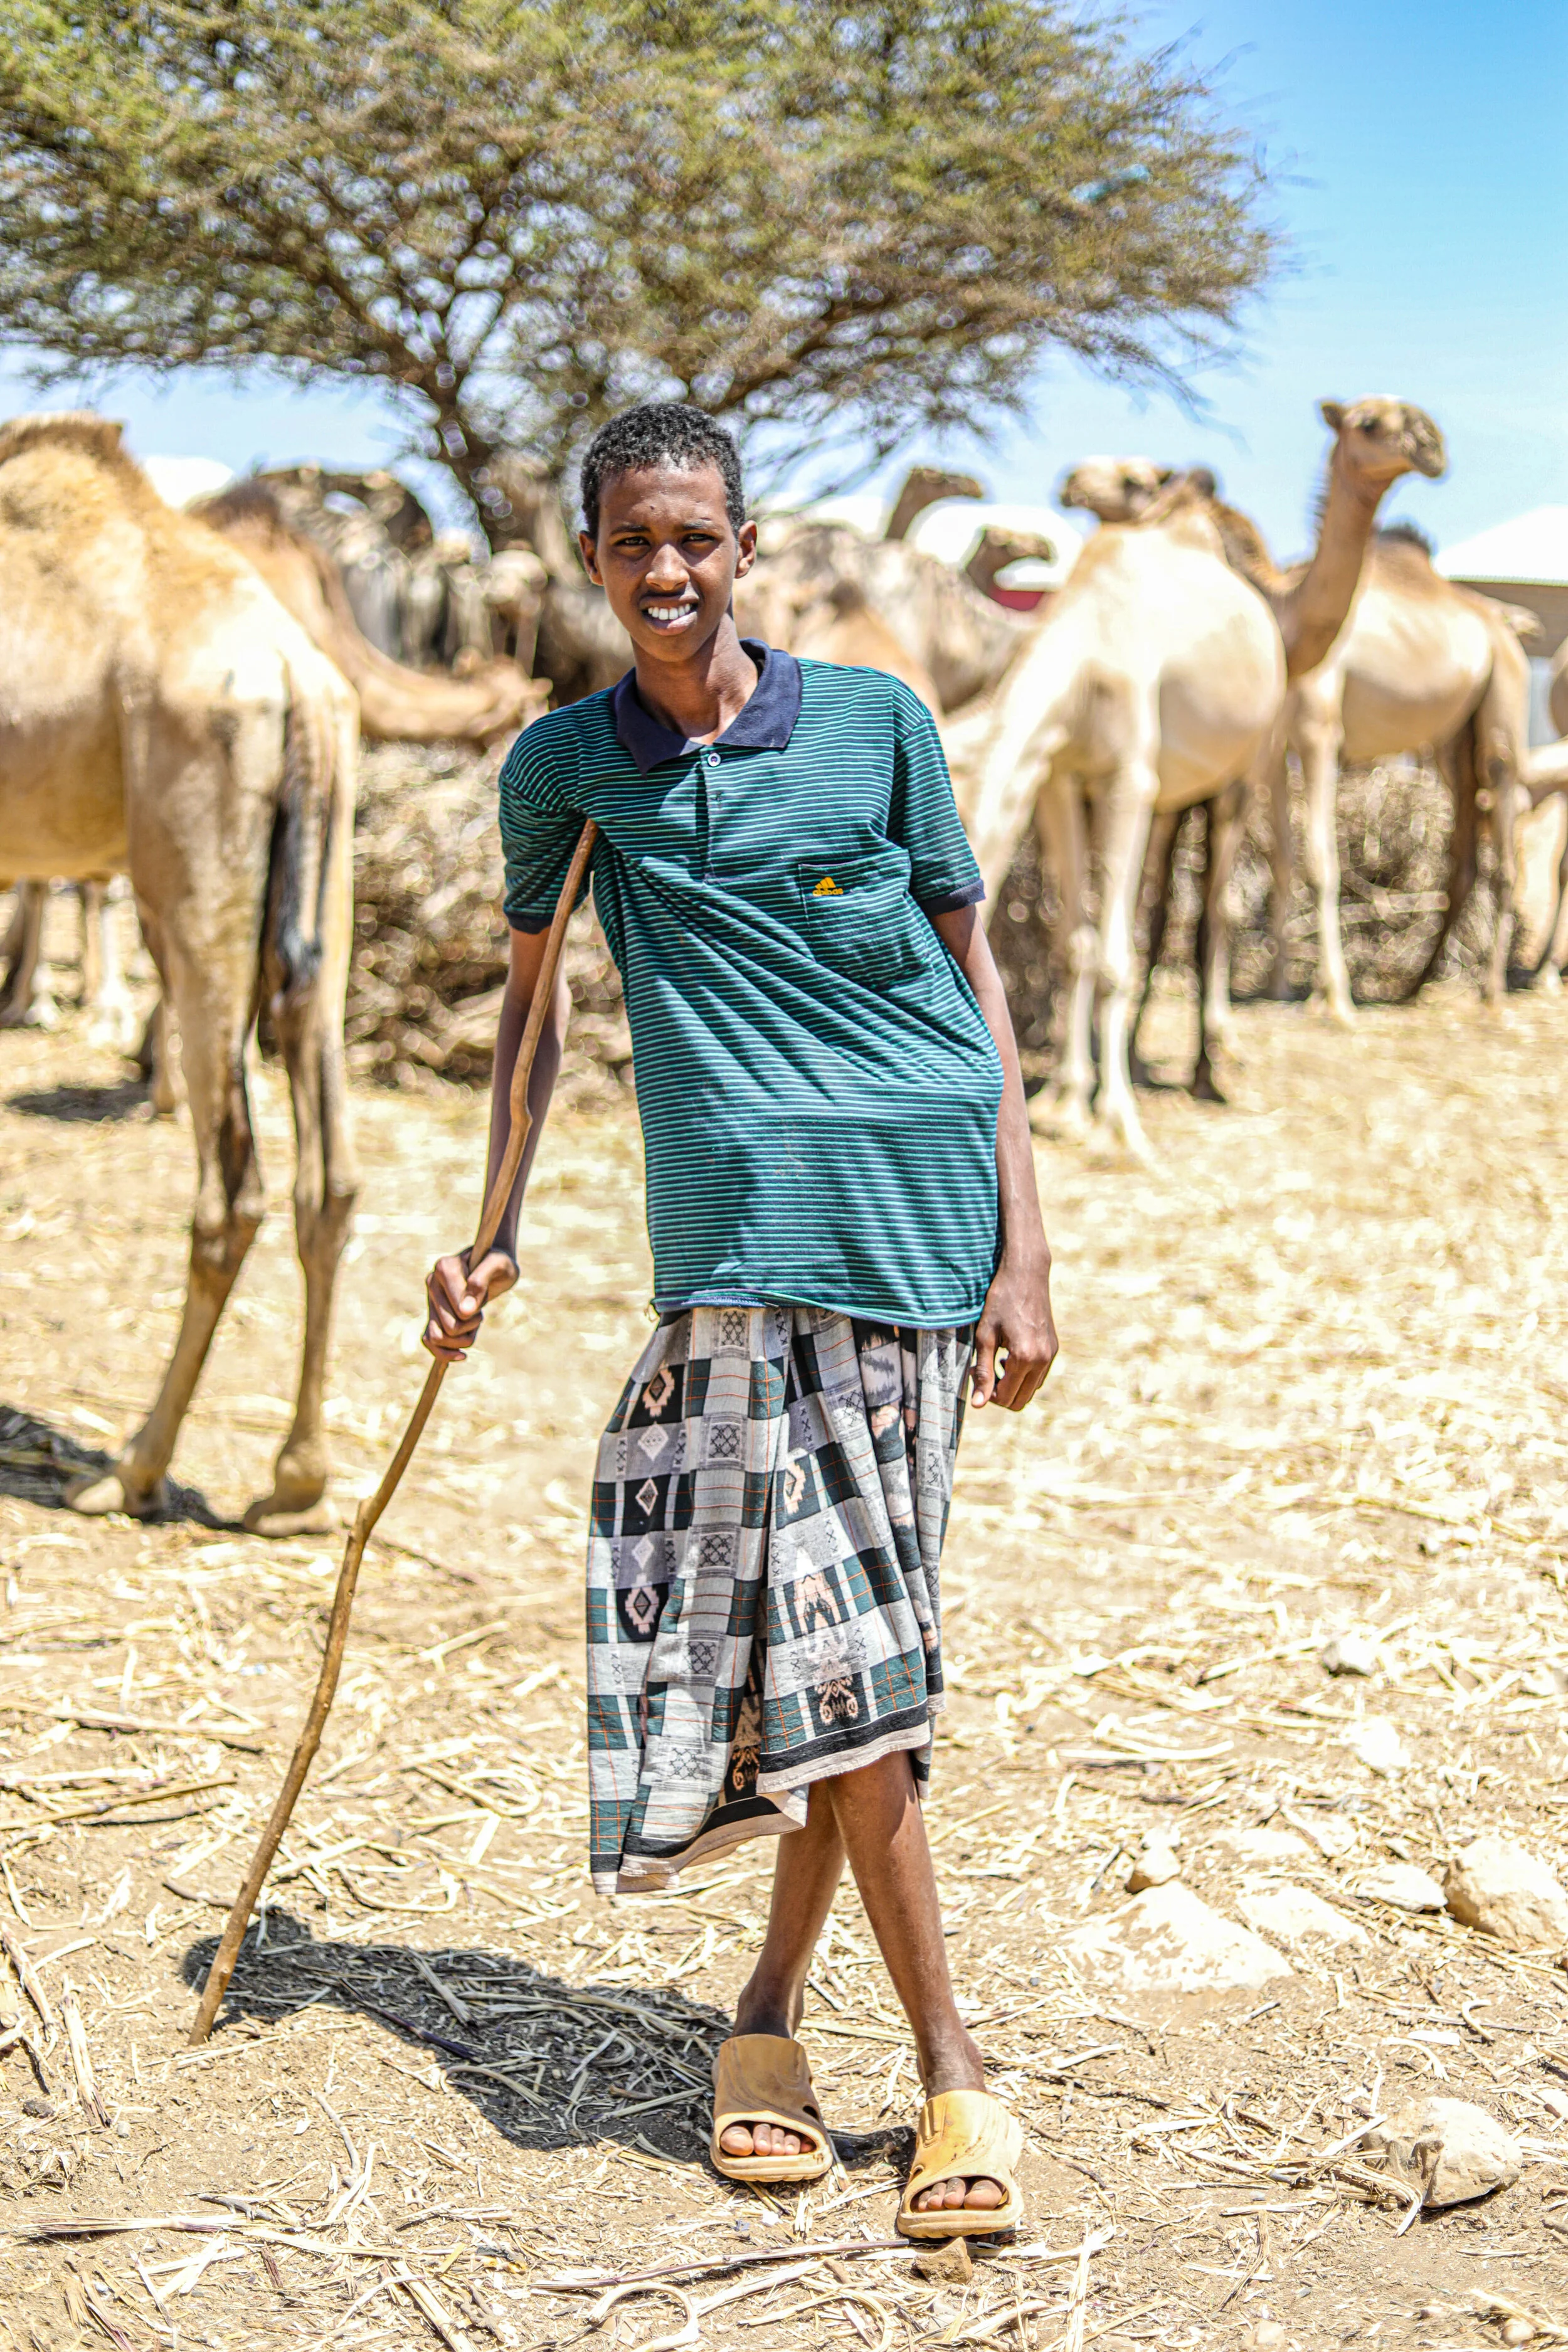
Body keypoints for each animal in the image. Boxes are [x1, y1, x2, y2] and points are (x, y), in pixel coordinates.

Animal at [0, 412, 360, 1533]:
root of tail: (295, 674)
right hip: (329, 872)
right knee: (328, 1176)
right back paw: (297, 1483)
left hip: (198, 856)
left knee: (232, 1189)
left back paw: (132, 1468)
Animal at [952, 399, 1445, 1151]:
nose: (1428, 443)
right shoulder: (1060, 780)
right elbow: (1075, 944)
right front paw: (1063, 1102)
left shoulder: (1131, 779)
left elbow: (1117, 951)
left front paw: (1116, 1122)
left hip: (1239, 769)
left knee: (1215, 908)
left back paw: (1210, 1069)